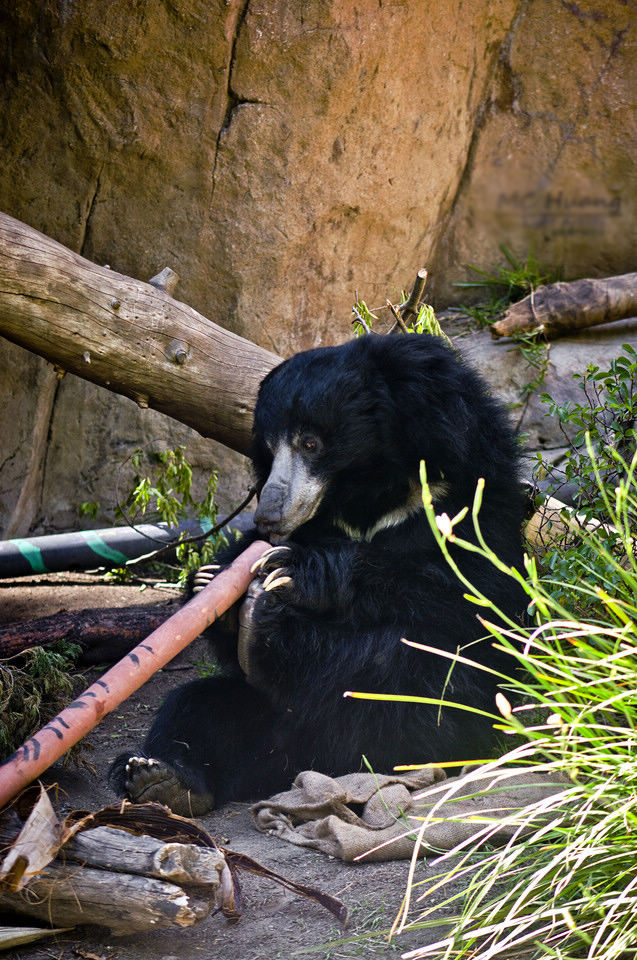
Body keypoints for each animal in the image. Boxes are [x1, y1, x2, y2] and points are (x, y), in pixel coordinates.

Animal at [110, 334, 528, 812]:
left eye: (310, 444)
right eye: (269, 449)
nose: (270, 516)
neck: (366, 495)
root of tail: (313, 765)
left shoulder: (469, 499)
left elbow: (465, 591)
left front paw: (292, 570)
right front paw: (210, 586)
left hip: (428, 710)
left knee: (404, 674)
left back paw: (269, 629)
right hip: (262, 718)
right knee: (198, 707)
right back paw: (161, 778)